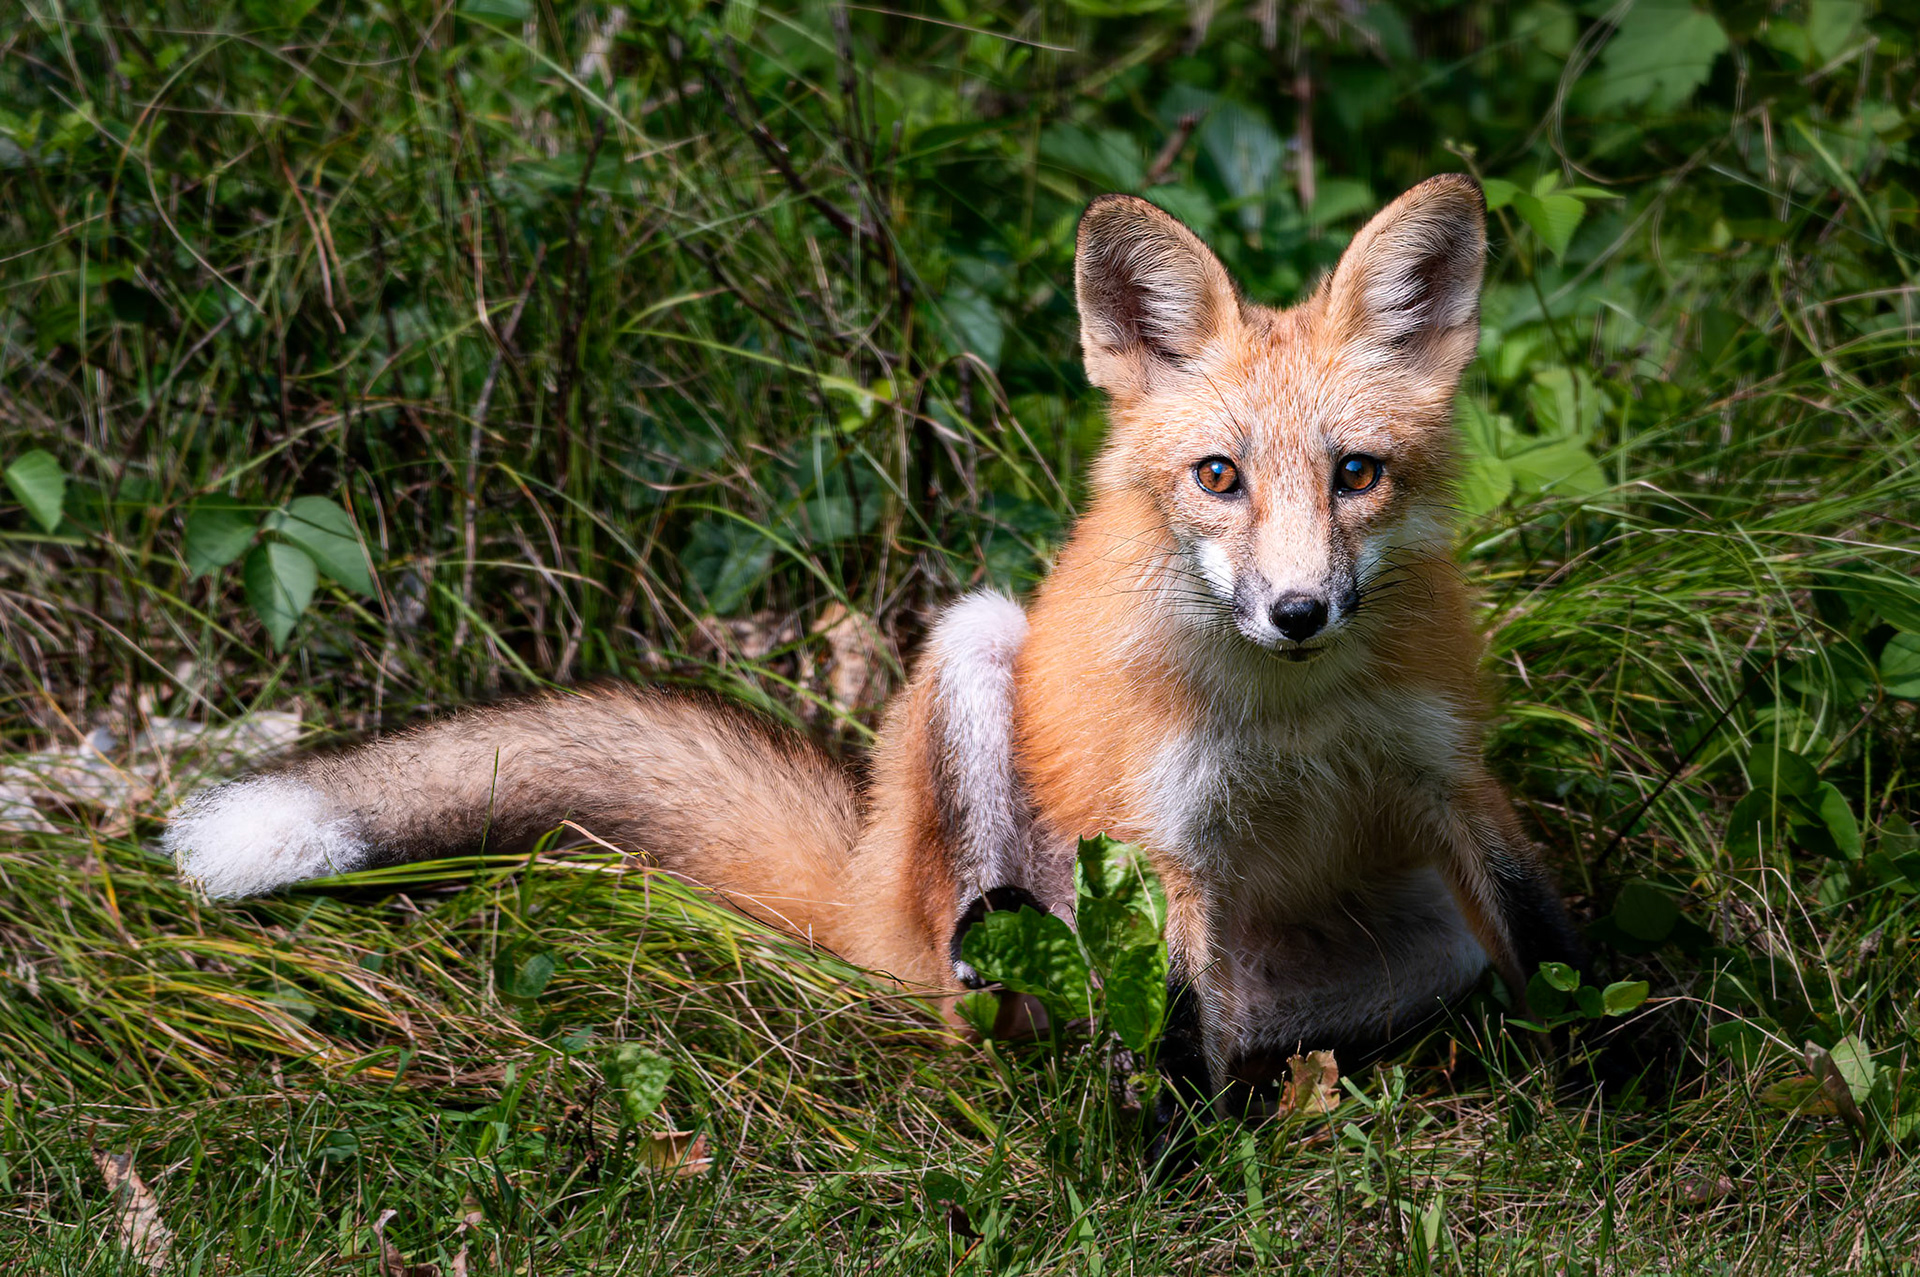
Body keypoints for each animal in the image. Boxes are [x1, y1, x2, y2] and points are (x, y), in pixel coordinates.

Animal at [165, 174, 1580, 1110]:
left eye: (1357, 474)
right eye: (1219, 476)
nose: (1297, 611)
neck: (1289, 717)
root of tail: (860, 889)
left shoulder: (1447, 772)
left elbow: (1556, 940)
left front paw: (1610, 1083)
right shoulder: (1164, 842)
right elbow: (1176, 1036)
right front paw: (1181, 1170)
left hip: (1391, 960)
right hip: (973, 653)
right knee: (1001, 1002)